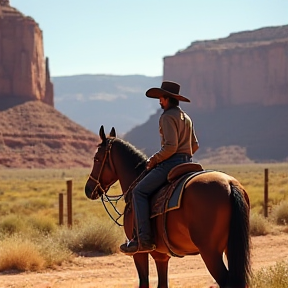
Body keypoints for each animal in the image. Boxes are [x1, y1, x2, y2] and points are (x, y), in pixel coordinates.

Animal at [84, 126, 251, 288]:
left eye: (96, 158)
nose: (88, 189)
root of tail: (230, 184)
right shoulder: (161, 256)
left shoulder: (139, 253)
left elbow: (144, 283)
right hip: (230, 248)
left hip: (210, 252)